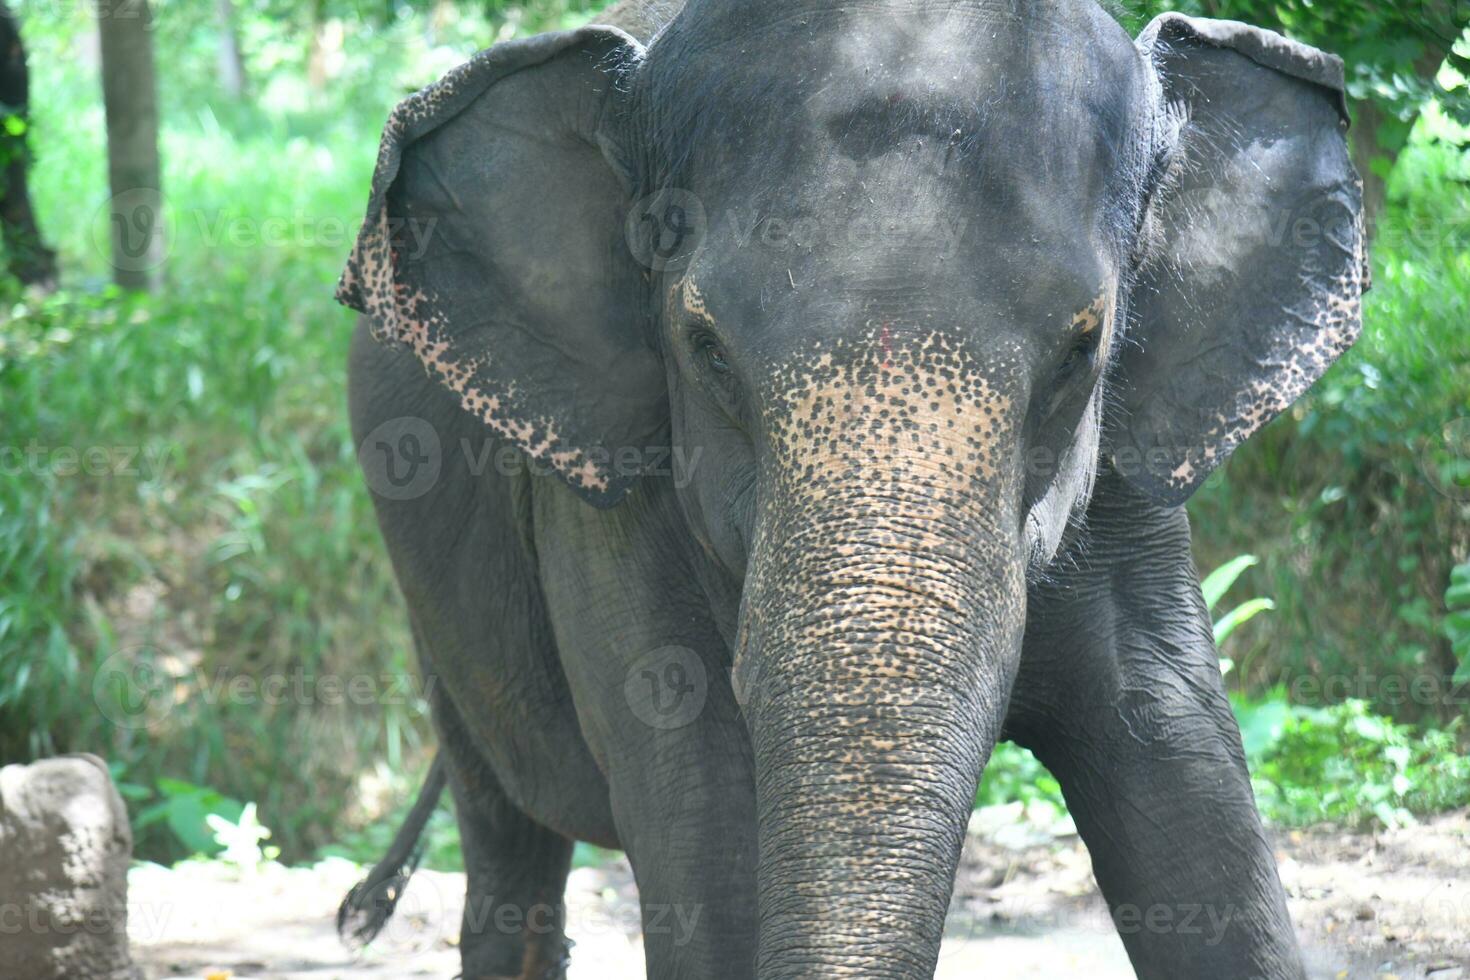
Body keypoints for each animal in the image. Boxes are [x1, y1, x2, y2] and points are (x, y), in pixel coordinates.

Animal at [333, 1, 1364, 980]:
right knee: (505, 835)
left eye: (1083, 350)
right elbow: (707, 836)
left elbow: (1185, 779)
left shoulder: (1130, 488)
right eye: (706, 349)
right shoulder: (619, 500)